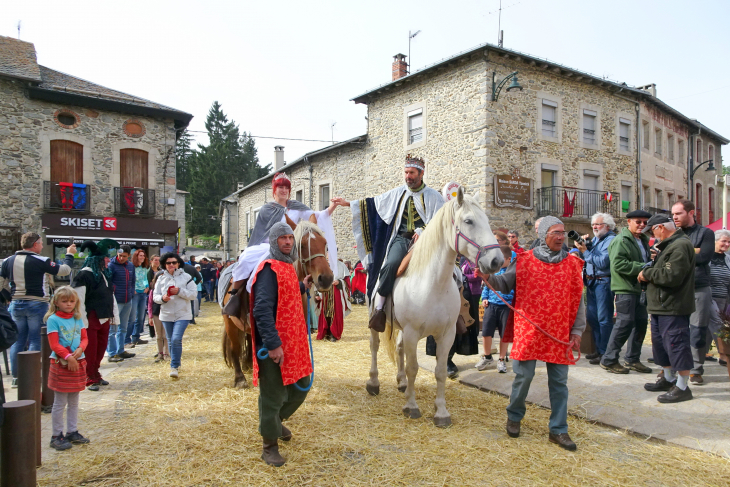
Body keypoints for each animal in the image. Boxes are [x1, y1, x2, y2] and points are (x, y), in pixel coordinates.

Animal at [220, 220, 334, 388]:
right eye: (302, 245)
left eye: (324, 243)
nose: (326, 279)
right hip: (230, 324)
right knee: (235, 349)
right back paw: (240, 378)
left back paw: (249, 365)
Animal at [366, 187, 504, 428]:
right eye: (468, 221)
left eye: (487, 220)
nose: (497, 261)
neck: (433, 283)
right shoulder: (412, 333)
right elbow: (413, 367)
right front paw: (411, 406)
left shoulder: (446, 335)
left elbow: (440, 371)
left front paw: (441, 412)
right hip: (377, 320)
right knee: (375, 346)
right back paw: (374, 382)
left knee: (399, 348)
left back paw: (401, 383)